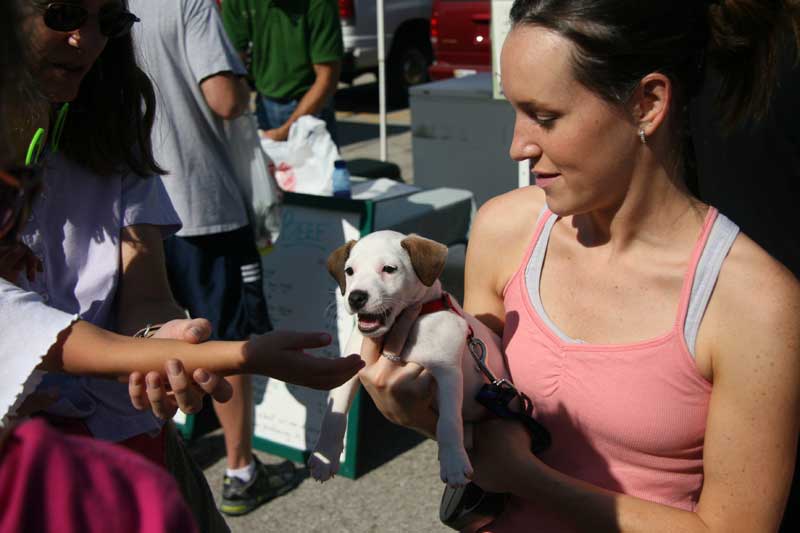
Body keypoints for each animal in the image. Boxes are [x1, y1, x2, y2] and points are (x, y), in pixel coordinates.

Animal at [310, 229, 510, 486]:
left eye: (389, 269)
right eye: (350, 271)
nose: (355, 297)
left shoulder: (448, 373)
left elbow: (449, 422)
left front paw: (454, 463)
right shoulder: (350, 367)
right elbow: (333, 416)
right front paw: (324, 457)